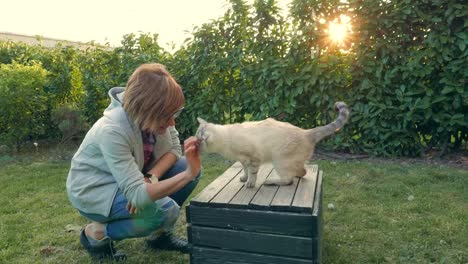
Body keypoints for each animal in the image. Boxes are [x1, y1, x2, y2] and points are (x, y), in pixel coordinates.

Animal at [196, 101, 350, 188]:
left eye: (201, 133)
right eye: (198, 141)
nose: (200, 139)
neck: (225, 144)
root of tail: (306, 132)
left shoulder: (253, 158)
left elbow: (252, 173)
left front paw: (250, 183)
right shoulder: (243, 160)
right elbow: (245, 171)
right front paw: (244, 178)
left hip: (279, 161)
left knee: (288, 180)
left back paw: (270, 181)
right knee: (302, 171)